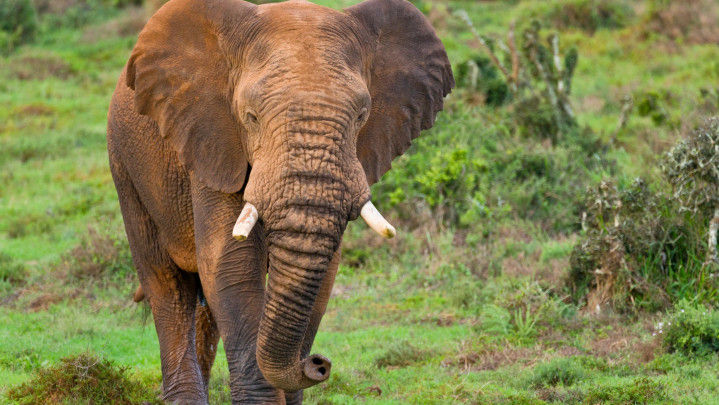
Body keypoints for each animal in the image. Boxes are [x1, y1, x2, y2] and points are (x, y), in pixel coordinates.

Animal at [106, 0, 453, 403]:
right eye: (251, 117)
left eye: (362, 116)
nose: (319, 364)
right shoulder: (214, 138)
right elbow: (231, 266)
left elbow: (322, 273)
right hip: (126, 167)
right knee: (167, 284)